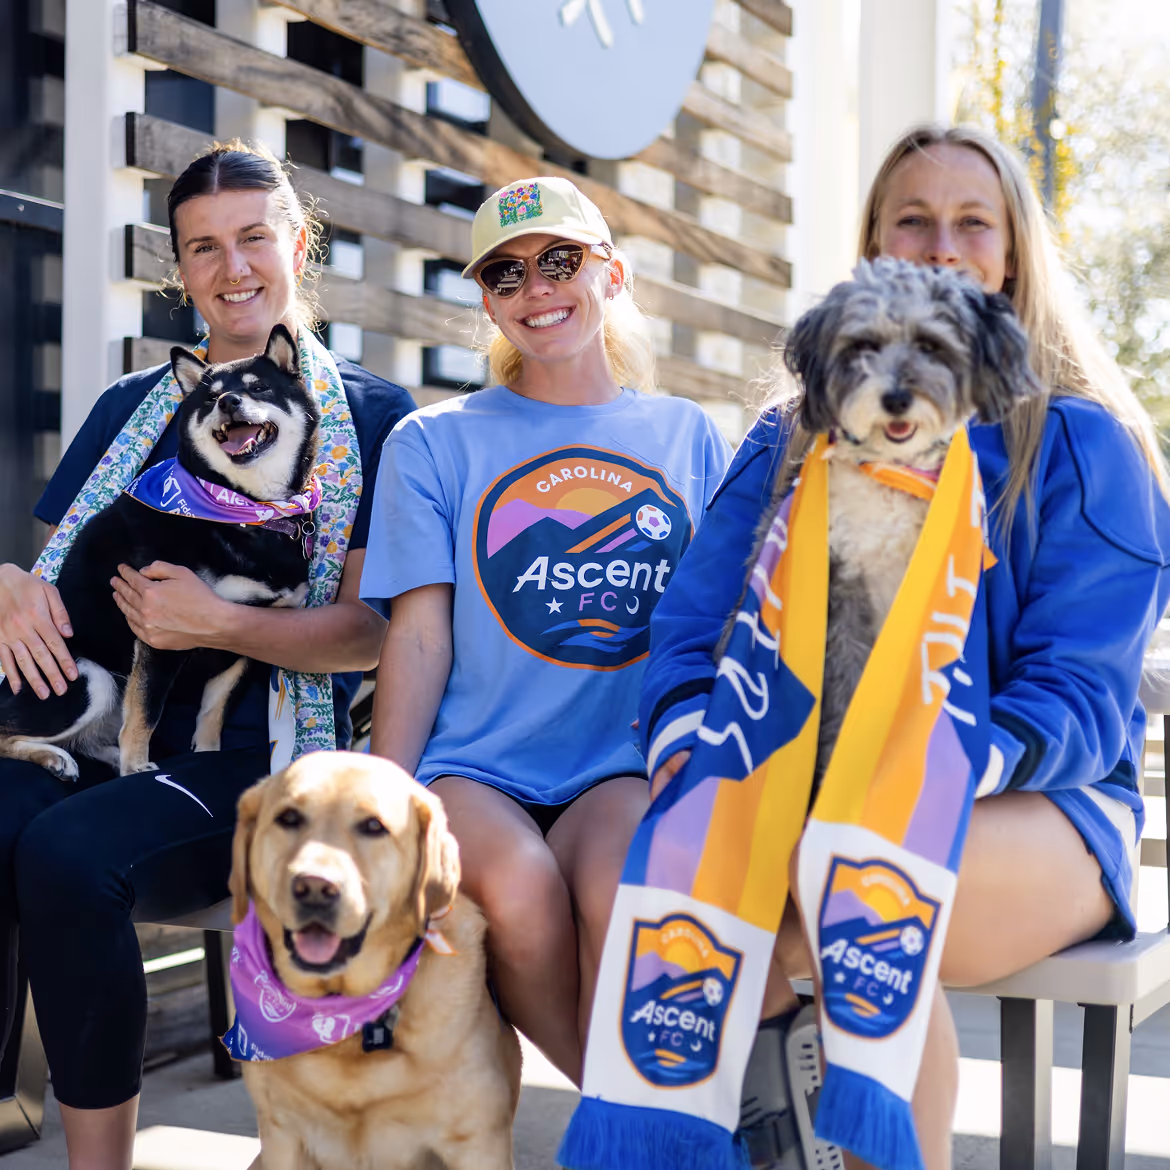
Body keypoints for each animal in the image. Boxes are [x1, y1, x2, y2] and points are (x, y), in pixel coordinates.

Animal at [0, 324, 320, 780]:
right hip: (89, 678)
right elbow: (146, 713)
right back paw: (59, 758)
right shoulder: (159, 634)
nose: (229, 401)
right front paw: (137, 765)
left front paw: (204, 755)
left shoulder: (243, 641)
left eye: (259, 388)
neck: (247, 511)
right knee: (7, 733)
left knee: (93, 738)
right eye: (210, 398)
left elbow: (213, 713)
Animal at [766, 258, 1041, 777]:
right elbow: (843, 683)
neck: (893, 471)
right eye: (863, 346)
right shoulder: (843, 586)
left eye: (931, 345)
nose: (895, 398)